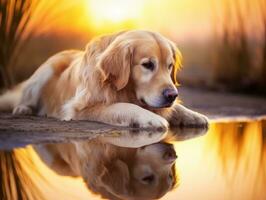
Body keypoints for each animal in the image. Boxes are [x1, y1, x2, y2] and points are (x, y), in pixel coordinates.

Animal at [0, 30, 208, 129]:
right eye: (148, 64)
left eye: (170, 66)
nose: (172, 95)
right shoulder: (81, 109)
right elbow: (124, 106)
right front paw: (150, 118)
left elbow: (176, 108)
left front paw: (194, 115)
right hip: (45, 71)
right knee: (25, 98)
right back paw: (23, 109)